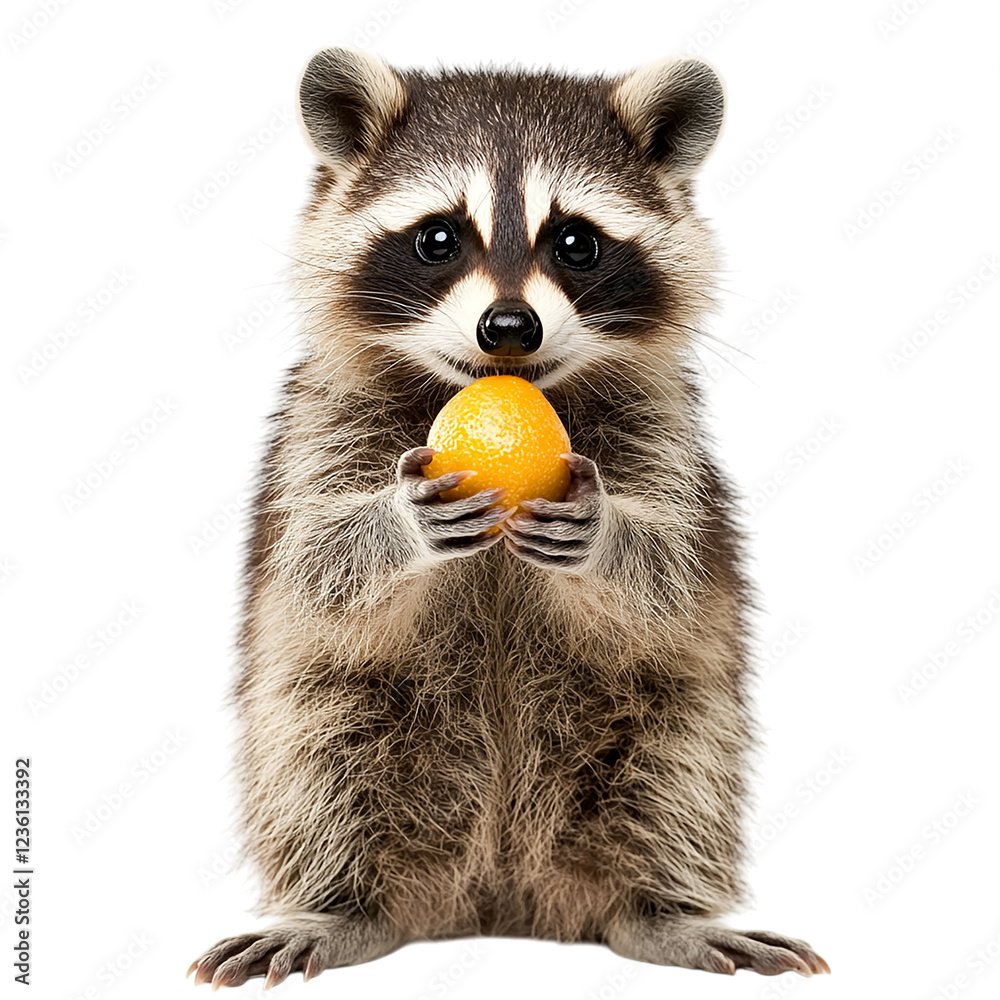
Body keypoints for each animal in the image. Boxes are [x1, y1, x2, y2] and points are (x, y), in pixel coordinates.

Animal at [189, 48, 829, 989]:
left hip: (672, 731)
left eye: (576, 242)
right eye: (438, 238)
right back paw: (343, 906)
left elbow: (670, 578)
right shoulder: (317, 427)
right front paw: (394, 527)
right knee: (318, 756)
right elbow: (319, 570)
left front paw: (608, 540)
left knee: (676, 772)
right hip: (326, 726)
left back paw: (658, 909)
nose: (509, 326)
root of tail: (499, 897)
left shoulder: (666, 433)